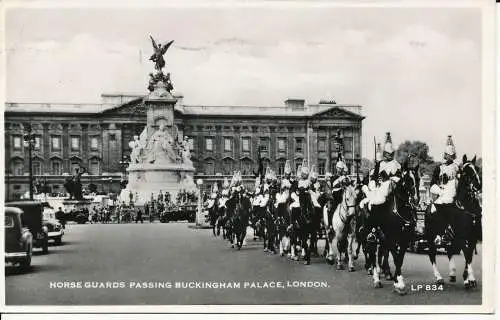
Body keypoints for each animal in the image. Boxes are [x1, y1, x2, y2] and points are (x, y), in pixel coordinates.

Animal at [366, 162, 420, 296]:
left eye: (418, 179)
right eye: (407, 180)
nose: (416, 200)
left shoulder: (404, 239)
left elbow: (399, 259)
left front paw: (397, 282)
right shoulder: (391, 238)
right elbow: (395, 258)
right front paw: (399, 283)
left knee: (380, 253)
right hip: (371, 234)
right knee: (372, 252)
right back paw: (376, 279)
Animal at [426, 155, 480, 290]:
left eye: (477, 168)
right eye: (465, 172)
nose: (478, 185)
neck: (466, 208)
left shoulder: (472, 238)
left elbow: (469, 256)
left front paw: (471, 279)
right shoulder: (461, 237)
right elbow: (467, 254)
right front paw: (466, 279)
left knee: (449, 250)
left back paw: (452, 274)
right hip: (431, 235)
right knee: (432, 253)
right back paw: (439, 277)